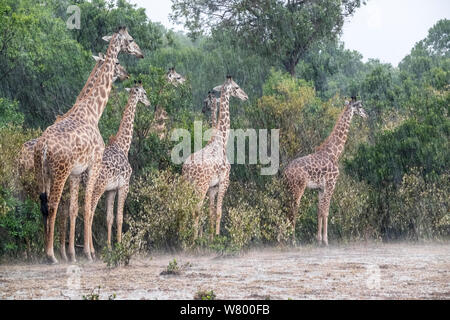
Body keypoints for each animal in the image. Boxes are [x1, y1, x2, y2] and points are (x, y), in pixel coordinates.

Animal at [34, 26, 143, 262]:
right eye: (130, 39)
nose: (140, 54)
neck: (93, 111)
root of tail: (43, 147)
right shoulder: (93, 165)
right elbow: (86, 207)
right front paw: (87, 253)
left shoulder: (76, 173)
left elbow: (76, 208)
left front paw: (74, 253)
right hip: (60, 171)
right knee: (55, 205)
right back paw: (52, 254)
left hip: (43, 172)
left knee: (44, 205)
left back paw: (48, 250)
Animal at [181, 76, 248, 239]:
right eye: (236, 87)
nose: (245, 96)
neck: (221, 139)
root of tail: (187, 169)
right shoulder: (224, 181)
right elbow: (218, 212)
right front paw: (216, 237)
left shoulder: (212, 187)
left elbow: (211, 212)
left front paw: (211, 237)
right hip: (200, 186)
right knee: (196, 209)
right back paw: (193, 240)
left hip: (186, 185)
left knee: (183, 208)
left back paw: (181, 235)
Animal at [284, 97, 368, 245]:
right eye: (360, 106)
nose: (366, 115)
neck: (334, 153)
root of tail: (285, 172)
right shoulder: (331, 184)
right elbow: (326, 211)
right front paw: (325, 240)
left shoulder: (320, 188)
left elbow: (319, 211)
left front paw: (318, 239)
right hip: (298, 188)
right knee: (293, 210)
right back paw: (292, 240)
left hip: (288, 188)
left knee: (284, 208)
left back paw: (282, 237)